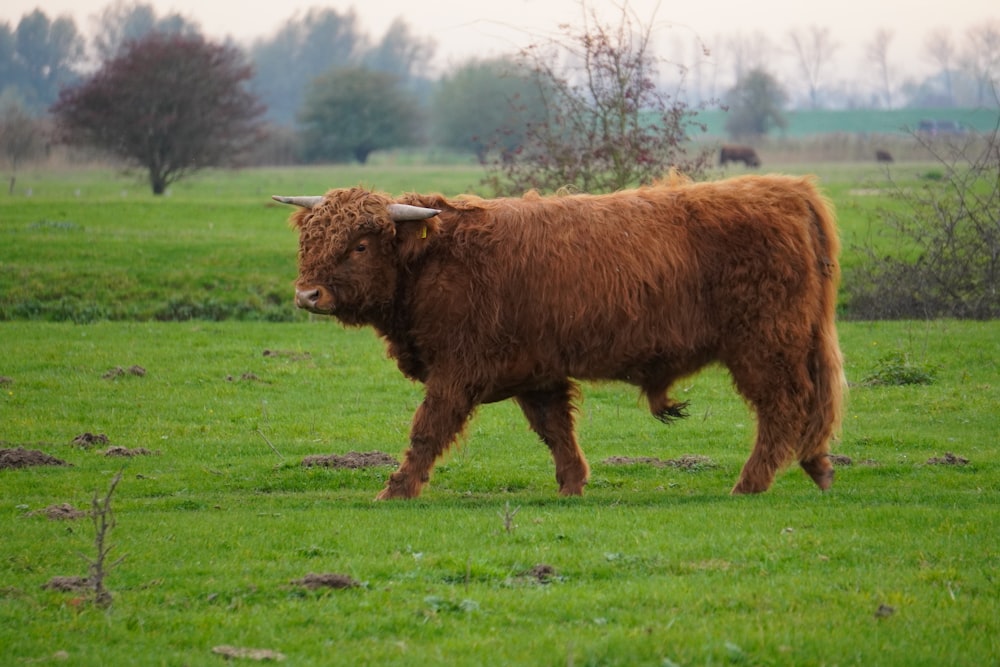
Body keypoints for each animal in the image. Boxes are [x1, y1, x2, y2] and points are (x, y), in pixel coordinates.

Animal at [274, 172, 844, 500]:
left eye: (361, 244)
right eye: (310, 239)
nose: (308, 295)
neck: (434, 261)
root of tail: (788, 190)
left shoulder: (457, 369)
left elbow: (427, 429)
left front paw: (397, 489)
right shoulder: (535, 369)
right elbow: (555, 430)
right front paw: (573, 484)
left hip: (765, 344)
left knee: (785, 405)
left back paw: (750, 483)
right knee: (813, 403)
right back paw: (816, 466)